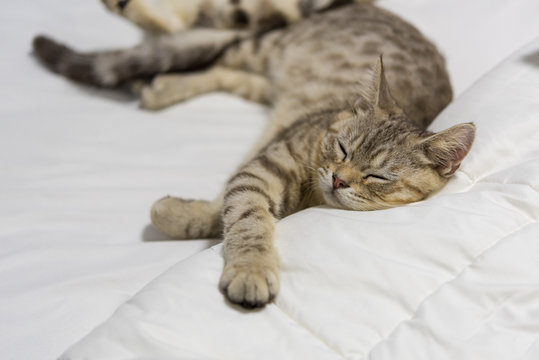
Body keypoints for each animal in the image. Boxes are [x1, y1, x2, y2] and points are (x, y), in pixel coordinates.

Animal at [32, 1, 476, 308]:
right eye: (342, 148)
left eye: (377, 176)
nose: (338, 178)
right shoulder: (263, 165)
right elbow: (246, 217)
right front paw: (250, 267)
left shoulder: (258, 165)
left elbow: (224, 212)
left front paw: (178, 214)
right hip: (261, 44)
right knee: (190, 40)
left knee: (210, 60)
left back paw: (156, 84)